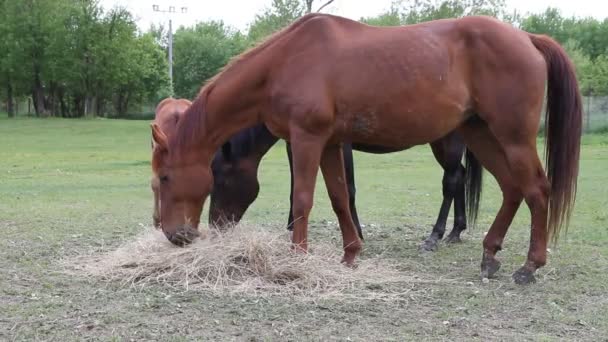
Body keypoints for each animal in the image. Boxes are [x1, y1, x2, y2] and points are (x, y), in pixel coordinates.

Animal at [207, 123, 482, 251]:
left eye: (221, 179)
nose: (214, 226)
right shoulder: (295, 144)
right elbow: (296, 187)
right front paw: (292, 226)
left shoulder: (340, 144)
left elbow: (347, 189)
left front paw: (357, 232)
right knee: (460, 177)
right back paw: (456, 232)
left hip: (448, 143)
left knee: (450, 182)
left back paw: (435, 236)